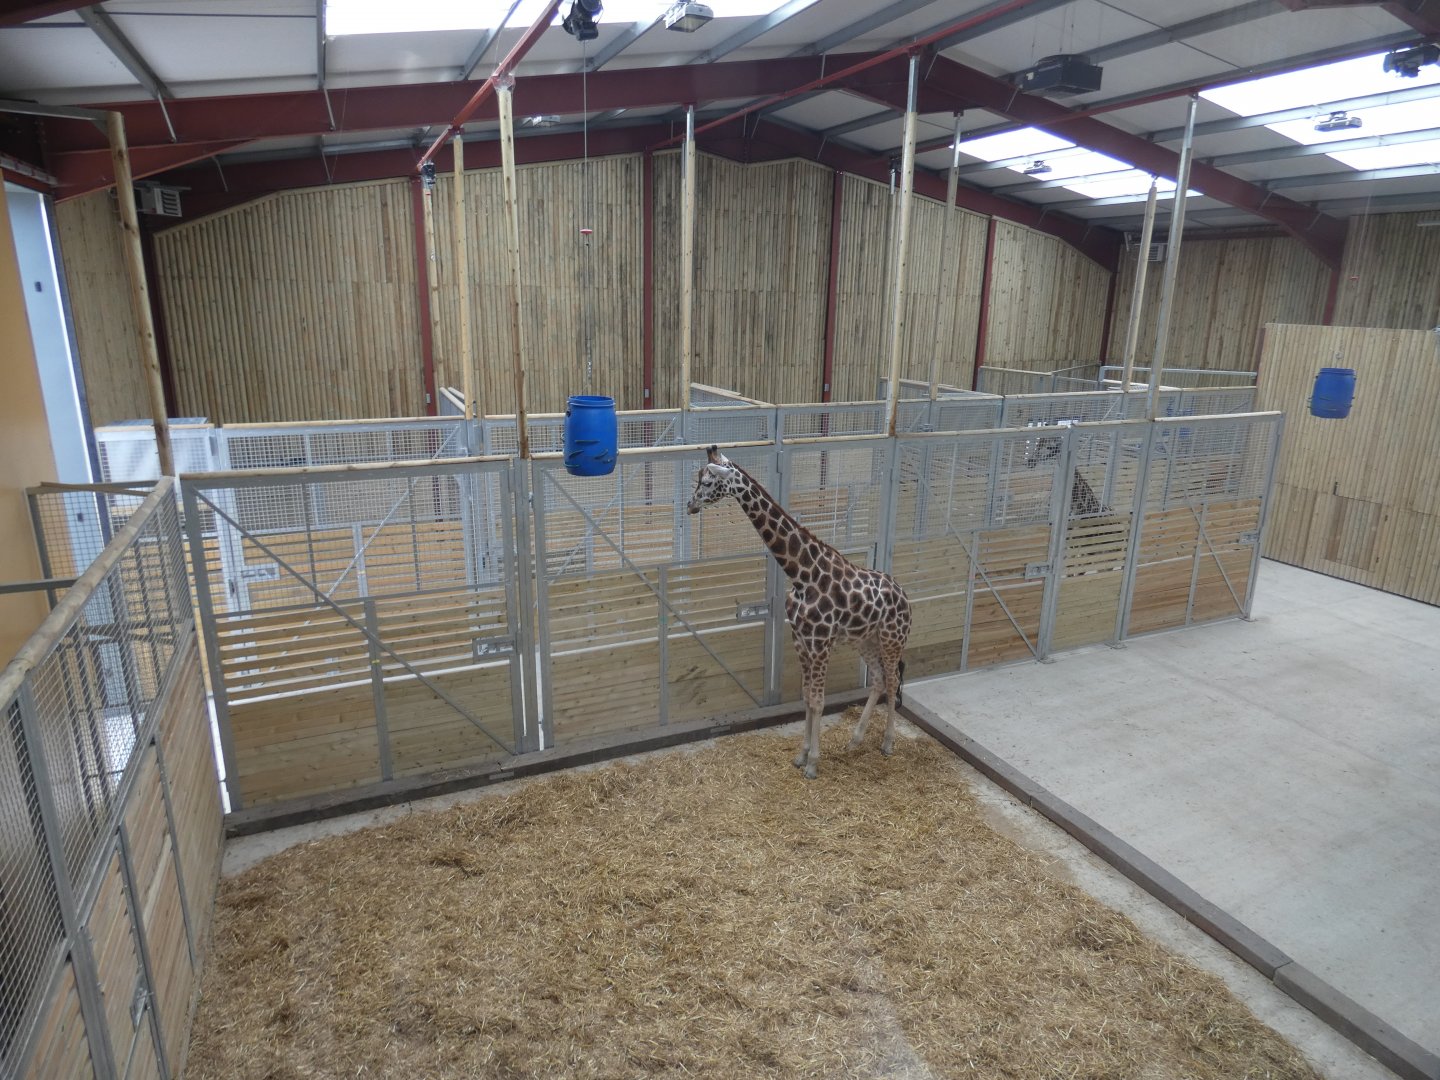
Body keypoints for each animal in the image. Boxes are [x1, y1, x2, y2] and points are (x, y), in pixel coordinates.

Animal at [687, 446, 911, 779]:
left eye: (706, 481)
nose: (690, 505)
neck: (802, 574)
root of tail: (907, 598)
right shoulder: (800, 640)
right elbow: (806, 696)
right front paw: (801, 755)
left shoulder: (820, 643)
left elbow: (818, 701)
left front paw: (813, 764)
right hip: (864, 640)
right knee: (879, 680)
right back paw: (855, 740)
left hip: (891, 639)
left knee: (894, 680)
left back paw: (887, 743)